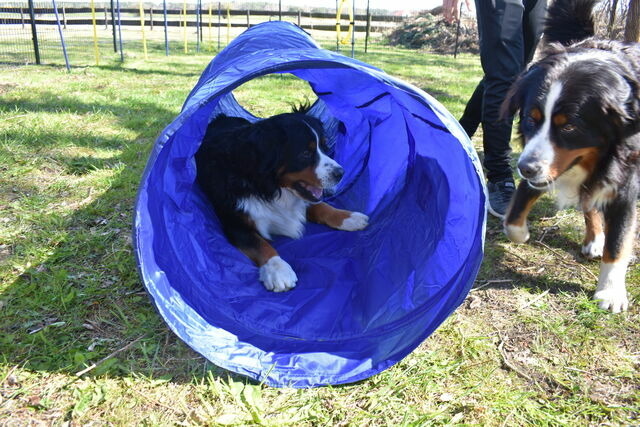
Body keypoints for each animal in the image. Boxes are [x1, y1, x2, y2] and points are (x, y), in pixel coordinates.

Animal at [194, 108, 370, 292]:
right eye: (305, 153)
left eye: (323, 146)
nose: (341, 173)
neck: (268, 187)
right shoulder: (235, 224)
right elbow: (260, 244)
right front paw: (278, 270)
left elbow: (321, 206)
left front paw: (349, 218)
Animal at [502, 0, 636, 314]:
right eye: (531, 118)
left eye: (568, 126)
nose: (525, 168)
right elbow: (514, 216)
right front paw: (522, 235)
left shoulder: (625, 182)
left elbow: (619, 240)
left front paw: (610, 292)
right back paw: (594, 238)